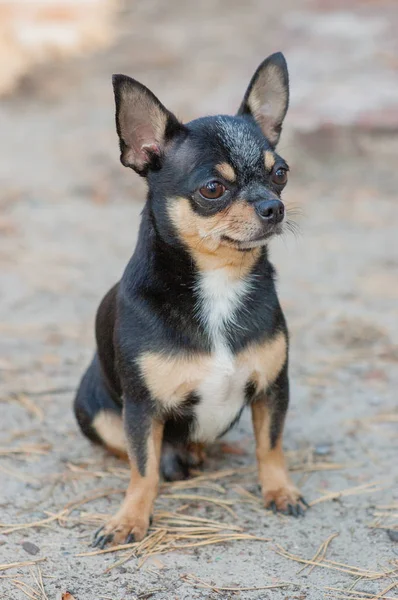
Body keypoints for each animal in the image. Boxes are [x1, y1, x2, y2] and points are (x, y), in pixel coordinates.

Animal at [74, 51, 306, 548]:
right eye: (212, 189)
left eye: (280, 173)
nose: (273, 207)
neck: (219, 282)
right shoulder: (142, 409)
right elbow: (142, 469)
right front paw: (130, 518)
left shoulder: (272, 389)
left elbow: (271, 446)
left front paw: (280, 490)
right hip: (92, 409)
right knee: (132, 450)